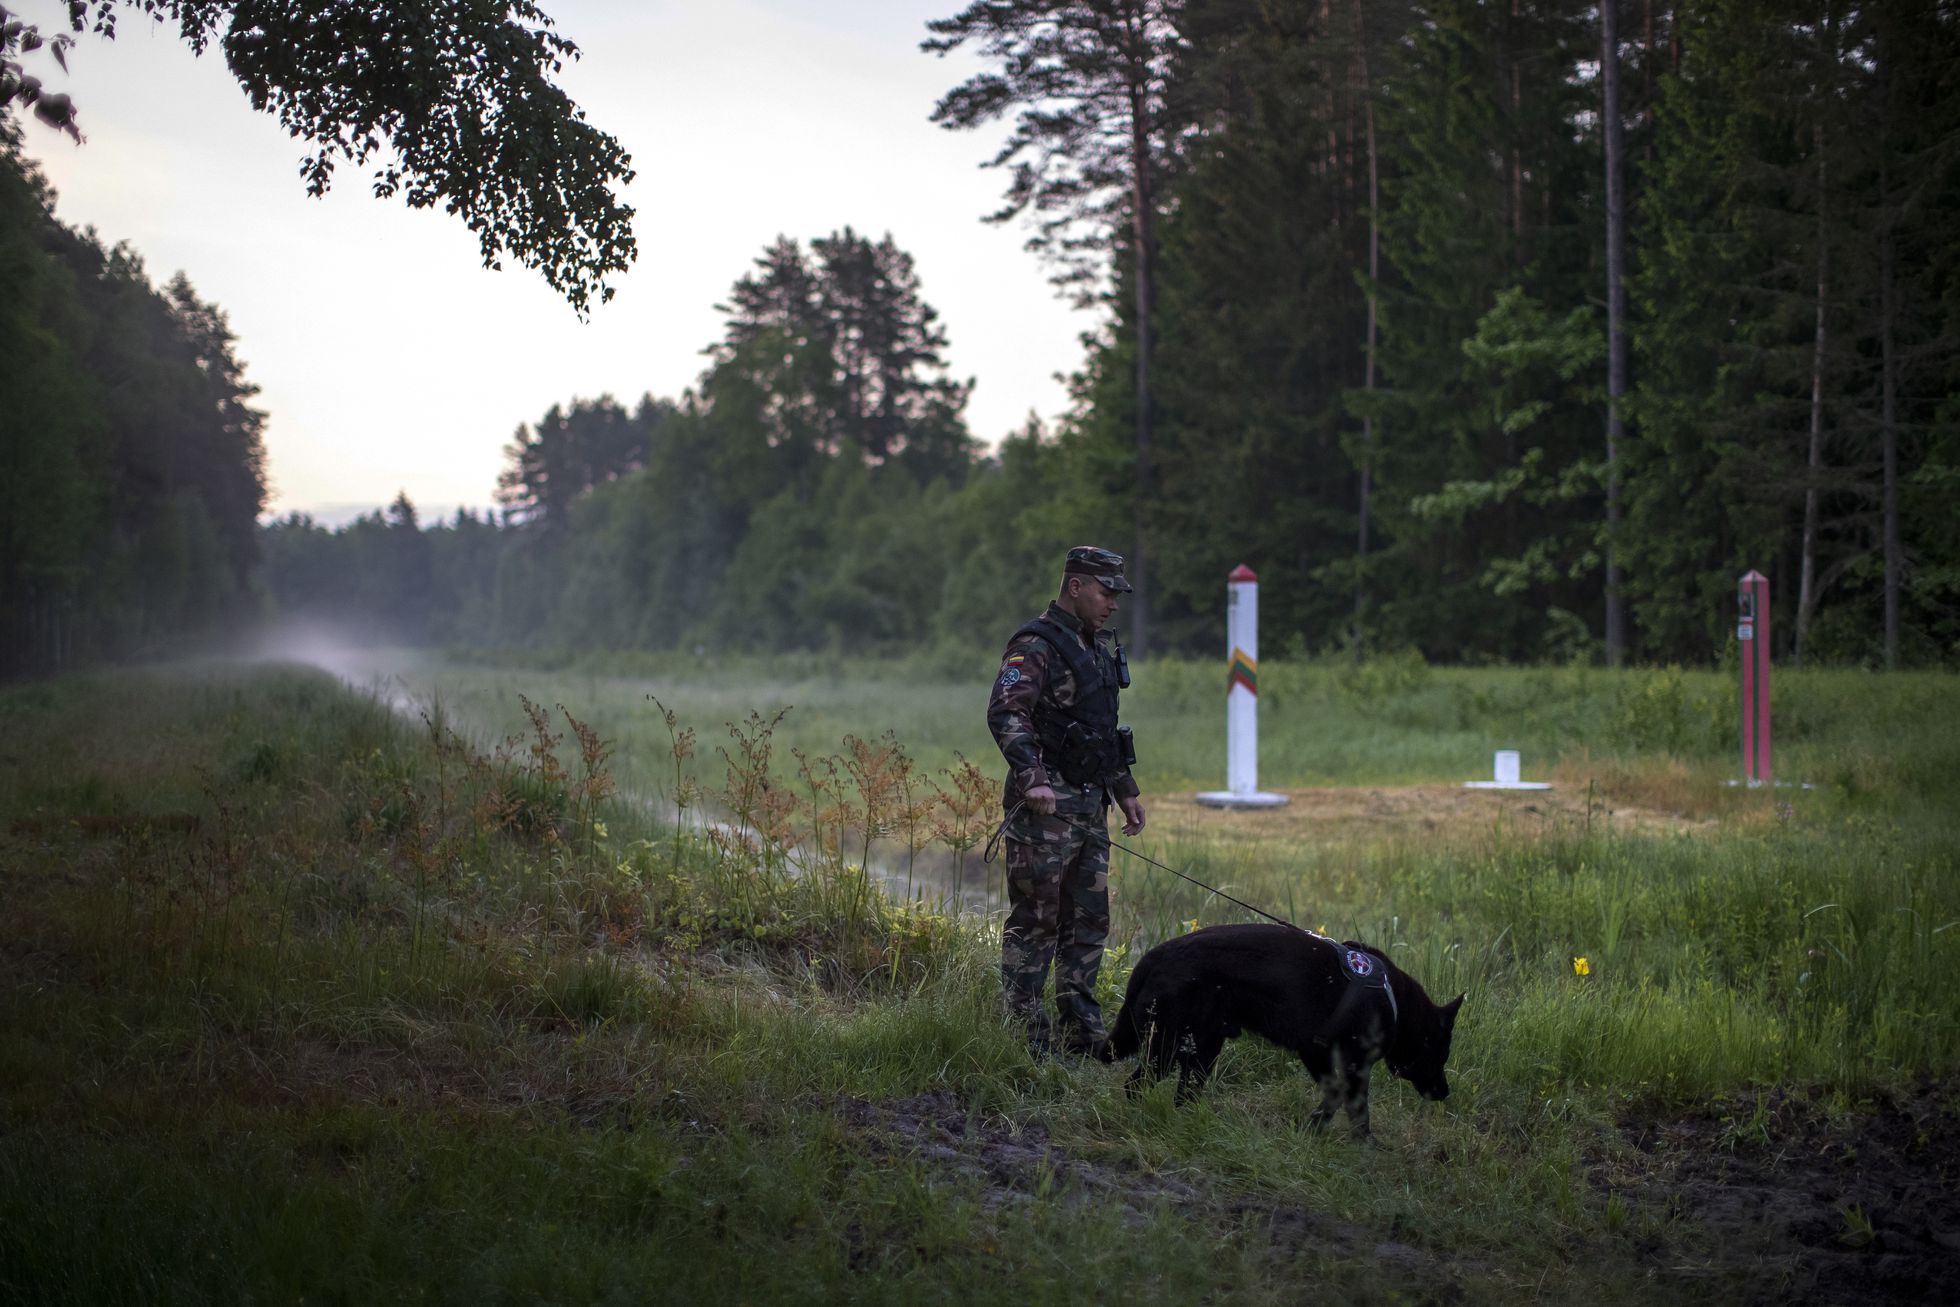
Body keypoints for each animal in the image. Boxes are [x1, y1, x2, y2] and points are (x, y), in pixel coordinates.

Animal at [1113, 920, 1466, 1144]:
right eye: (1442, 1054)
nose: (1445, 1092)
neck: (1396, 1004)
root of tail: (1154, 955)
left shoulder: (1317, 1052)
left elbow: (1335, 1094)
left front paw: (1314, 1127)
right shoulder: (1345, 1062)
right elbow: (1353, 1104)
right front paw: (1363, 1143)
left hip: (1200, 1050)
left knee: (1174, 1091)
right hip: (1169, 1047)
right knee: (1138, 1085)